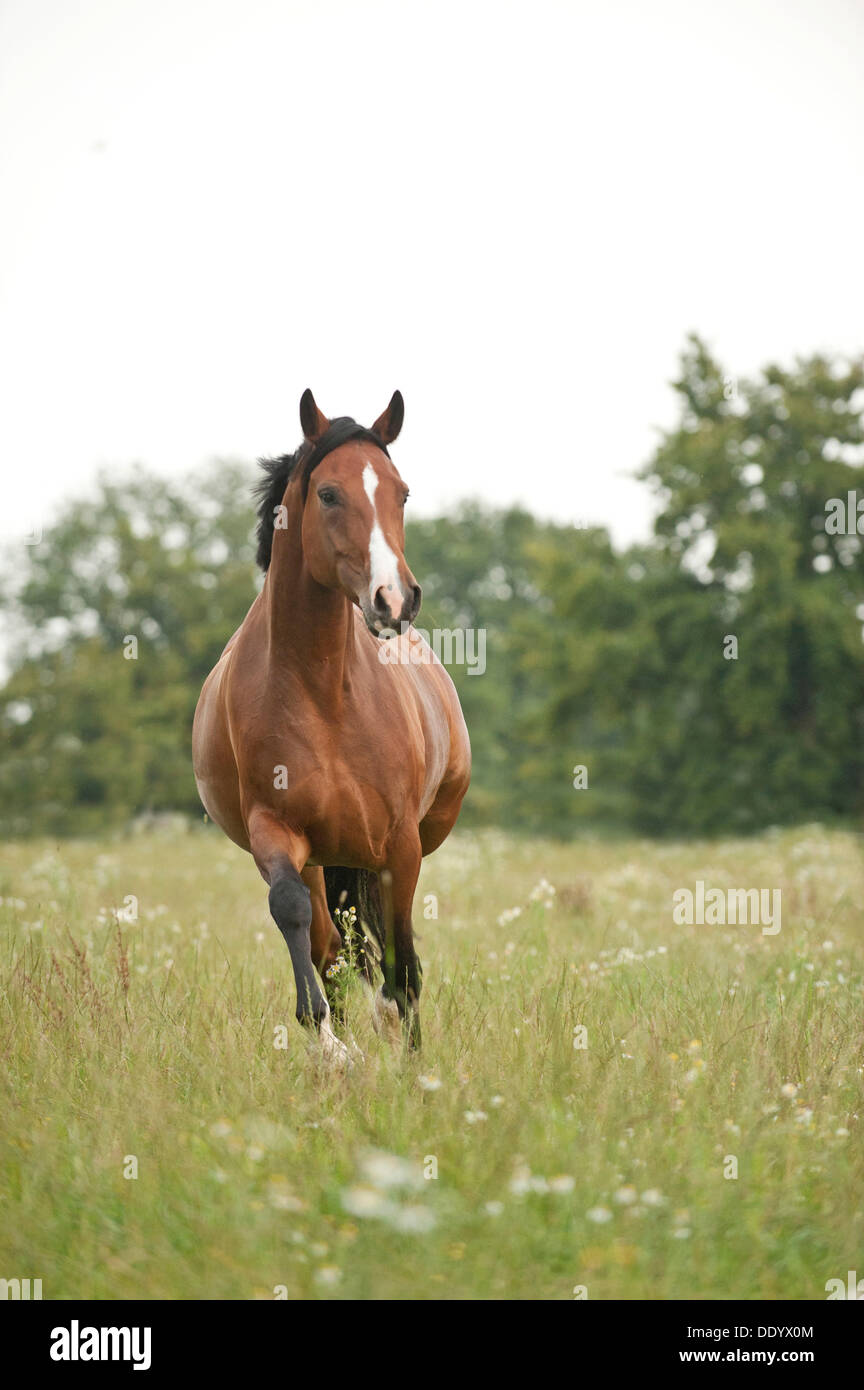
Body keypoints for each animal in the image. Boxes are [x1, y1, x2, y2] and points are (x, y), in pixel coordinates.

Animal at [191, 391, 475, 1061]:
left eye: (402, 492)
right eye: (328, 493)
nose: (394, 600)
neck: (323, 696)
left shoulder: (399, 846)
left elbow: (403, 966)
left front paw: (412, 1061)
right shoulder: (276, 832)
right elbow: (298, 922)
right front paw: (328, 1044)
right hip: (322, 860)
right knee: (330, 947)